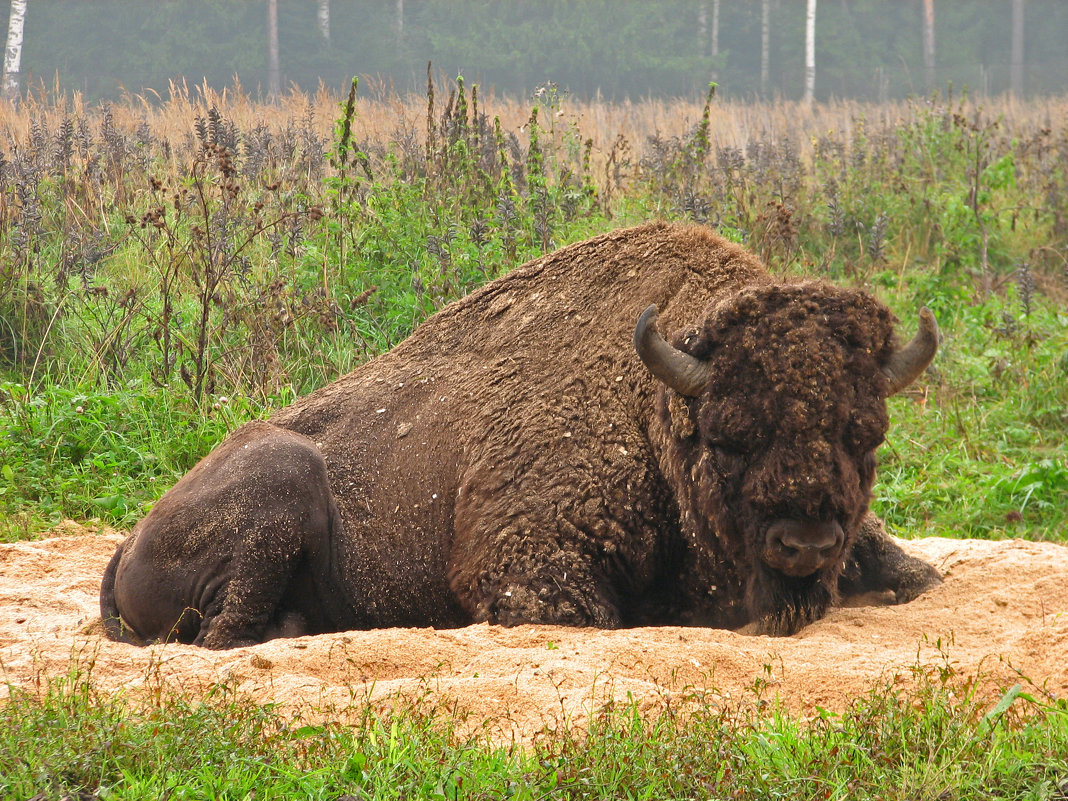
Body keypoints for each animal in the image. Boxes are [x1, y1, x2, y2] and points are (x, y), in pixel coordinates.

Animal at [98, 223, 935, 649]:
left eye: (866, 435)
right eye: (728, 435)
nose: (806, 544)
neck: (651, 399)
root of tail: (128, 541)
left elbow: (919, 574)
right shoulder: (522, 566)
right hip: (278, 489)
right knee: (222, 634)